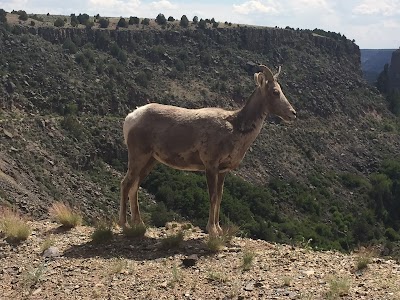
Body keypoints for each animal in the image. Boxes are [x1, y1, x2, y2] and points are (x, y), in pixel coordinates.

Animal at [120, 65, 296, 237]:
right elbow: (212, 197)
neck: (234, 127)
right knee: (126, 183)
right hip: (138, 157)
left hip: (150, 160)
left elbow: (219, 198)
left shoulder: (223, 171)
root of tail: (132, 117)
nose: (292, 113)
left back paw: (139, 224)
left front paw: (218, 230)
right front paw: (211, 230)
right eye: (275, 92)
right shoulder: (211, 166)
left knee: (134, 186)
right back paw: (124, 224)